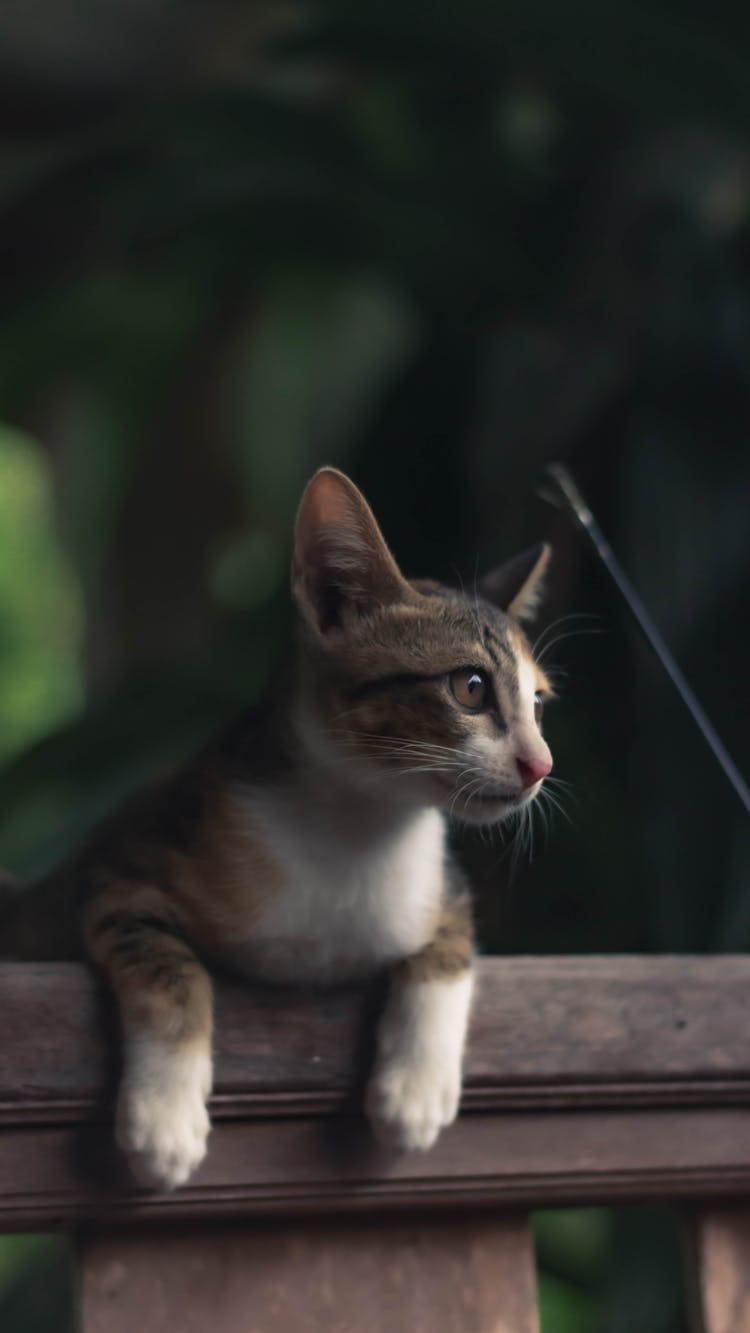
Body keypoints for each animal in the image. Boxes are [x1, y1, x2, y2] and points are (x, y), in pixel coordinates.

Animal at [0, 466, 551, 1189]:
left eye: (538, 703)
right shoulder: (115, 866)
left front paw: (417, 1089)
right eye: (471, 687)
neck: (358, 827)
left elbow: (452, 941)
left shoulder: (440, 883)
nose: (541, 765)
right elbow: (169, 966)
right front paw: (164, 1118)